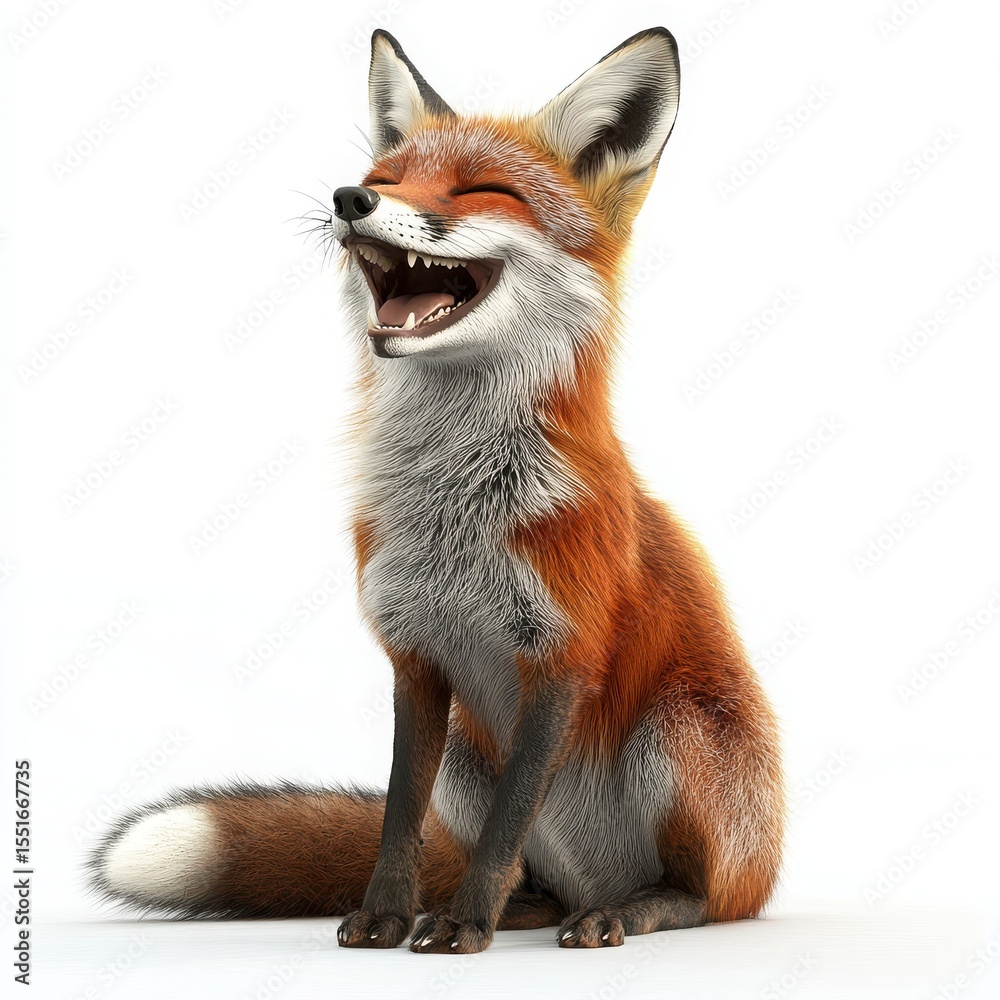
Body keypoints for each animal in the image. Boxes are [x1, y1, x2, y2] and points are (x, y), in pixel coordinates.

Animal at [90, 27, 784, 954]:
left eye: (486, 189)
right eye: (385, 180)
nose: (349, 198)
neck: (452, 511)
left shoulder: (562, 655)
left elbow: (504, 826)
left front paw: (466, 929)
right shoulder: (414, 654)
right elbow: (398, 815)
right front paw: (388, 914)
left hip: (678, 735)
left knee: (701, 895)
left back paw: (622, 909)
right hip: (466, 752)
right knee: (528, 872)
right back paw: (516, 906)